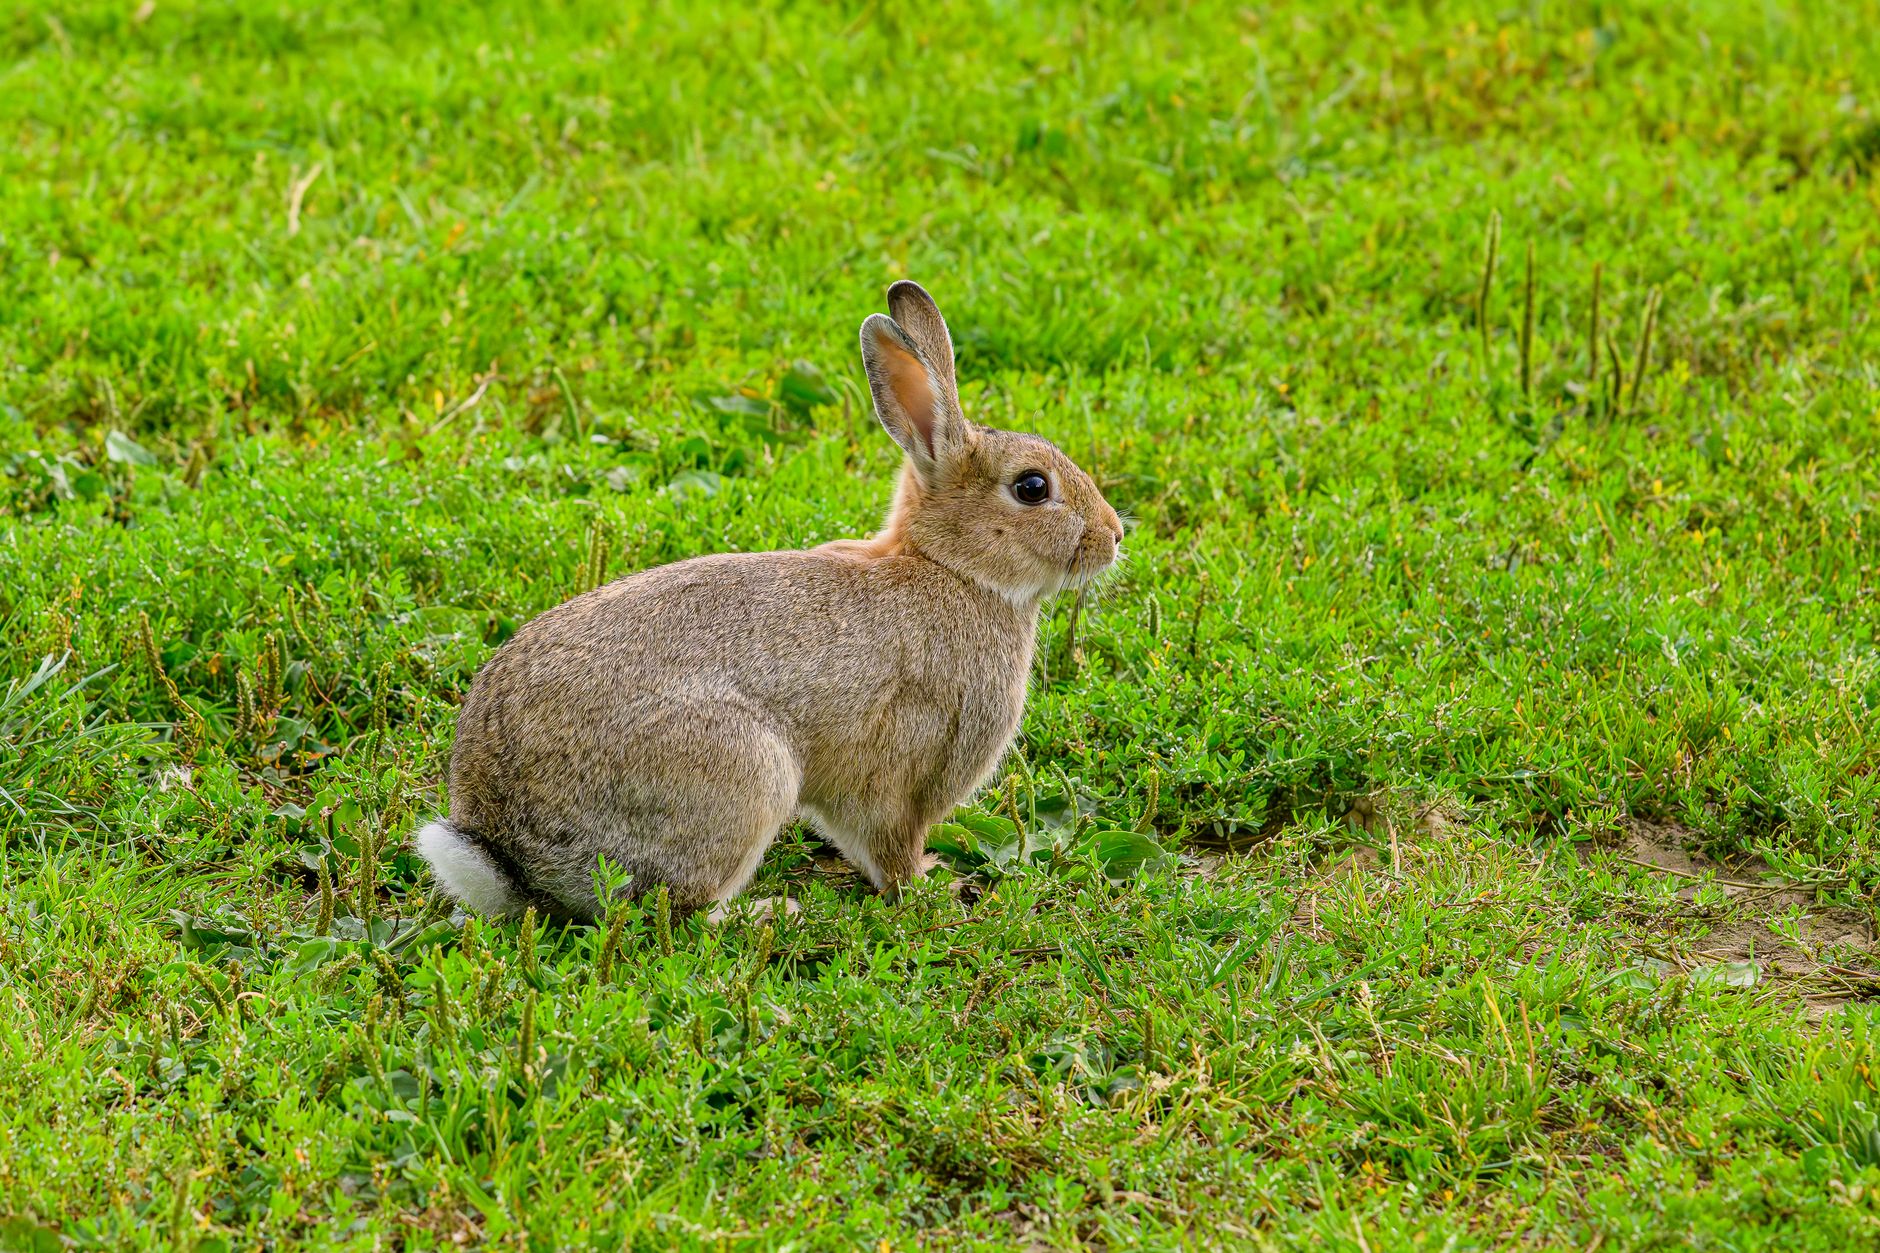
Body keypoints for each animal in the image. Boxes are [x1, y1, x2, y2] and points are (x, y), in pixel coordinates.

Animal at [415, 281, 1124, 922]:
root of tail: (514, 859)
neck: (952, 568)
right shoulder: (901, 766)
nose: (1115, 534)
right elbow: (890, 842)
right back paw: (769, 913)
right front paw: (930, 886)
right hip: (745, 777)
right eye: (1033, 488)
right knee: (678, 911)